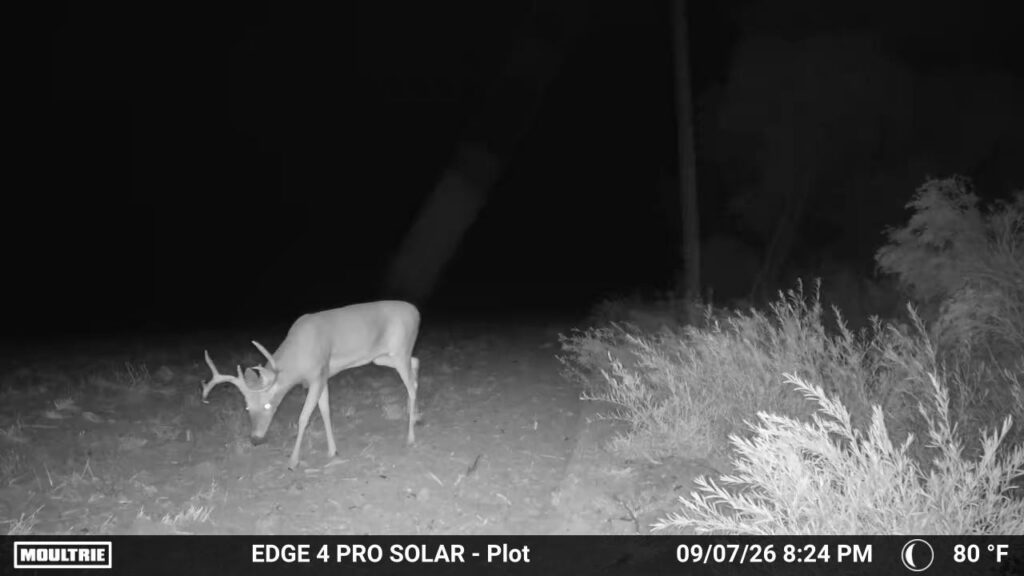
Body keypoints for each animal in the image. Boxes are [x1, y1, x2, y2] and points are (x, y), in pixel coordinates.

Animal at [201, 300, 421, 470]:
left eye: (268, 405)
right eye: (247, 407)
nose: (255, 439)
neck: (298, 359)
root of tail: (416, 312)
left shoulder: (317, 375)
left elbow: (304, 416)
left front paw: (293, 461)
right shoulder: (323, 376)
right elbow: (325, 411)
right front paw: (333, 451)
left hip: (400, 350)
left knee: (411, 385)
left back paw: (410, 437)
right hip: (380, 357)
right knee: (416, 365)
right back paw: (416, 416)